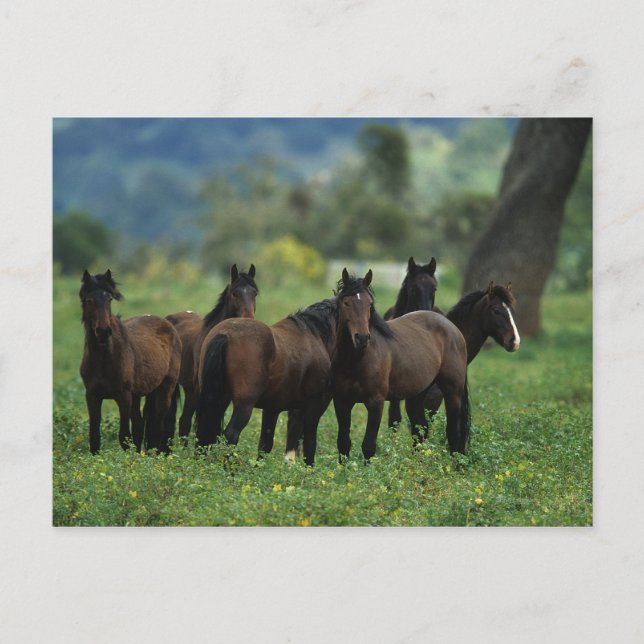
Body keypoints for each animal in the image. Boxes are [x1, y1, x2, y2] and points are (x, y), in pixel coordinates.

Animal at [79, 270, 182, 454]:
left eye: (109, 299)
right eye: (89, 300)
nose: (103, 331)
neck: (104, 358)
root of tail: (169, 325)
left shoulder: (123, 396)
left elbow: (124, 437)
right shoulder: (92, 396)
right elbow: (95, 438)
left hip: (165, 388)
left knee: (158, 424)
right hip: (138, 395)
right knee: (141, 425)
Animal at [165, 264, 258, 443]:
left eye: (255, 293)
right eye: (234, 293)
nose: (249, 320)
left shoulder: (225, 394)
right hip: (188, 389)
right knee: (183, 420)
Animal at [195, 299, 336, 465]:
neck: (315, 335)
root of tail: (224, 334)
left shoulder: (273, 407)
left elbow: (266, 444)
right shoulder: (315, 404)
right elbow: (309, 442)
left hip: (219, 399)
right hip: (244, 405)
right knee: (231, 435)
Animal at [331, 268, 470, 462]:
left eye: (369, 304)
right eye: (346, 302)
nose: (362, 338)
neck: (355, 360)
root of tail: (453, 329)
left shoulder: (375, 403)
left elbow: (368, 446)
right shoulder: (341, 402)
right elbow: (343, 444)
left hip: (452, 392)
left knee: (453, 434)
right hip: (417, 395)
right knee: (420, 430)